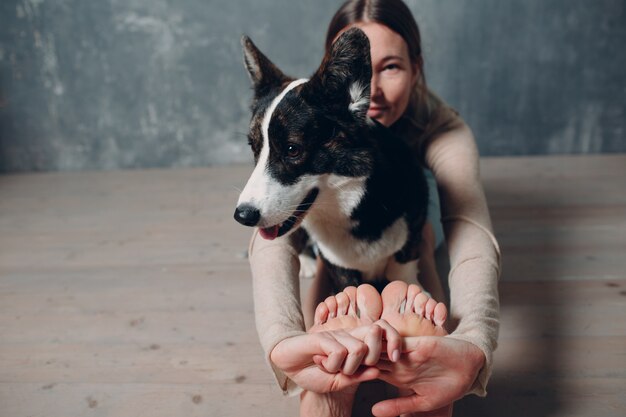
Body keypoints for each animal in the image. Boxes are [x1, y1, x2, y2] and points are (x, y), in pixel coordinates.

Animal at [234, 27, 428, 290]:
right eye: (254, 147)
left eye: (292, 149)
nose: (242, 216)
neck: (351, 204)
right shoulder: (339, 267)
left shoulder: (414, 229)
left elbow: (403, 267)